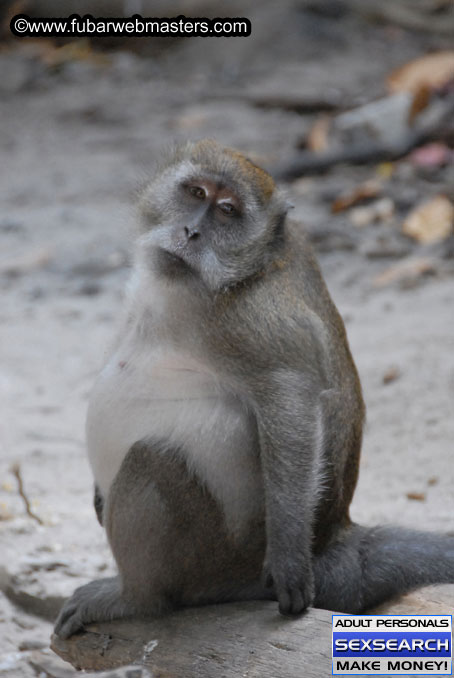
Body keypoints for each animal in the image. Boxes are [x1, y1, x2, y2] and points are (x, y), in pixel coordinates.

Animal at [55, 141, 452, 640]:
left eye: (227, 211)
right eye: (196, 192)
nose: (191, 231)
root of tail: (334, 543)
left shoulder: (248, 319)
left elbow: (291, 394)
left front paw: (287, 558)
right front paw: (95, 494)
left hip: (215, 561)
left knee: (151, 461)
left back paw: (136, 598)